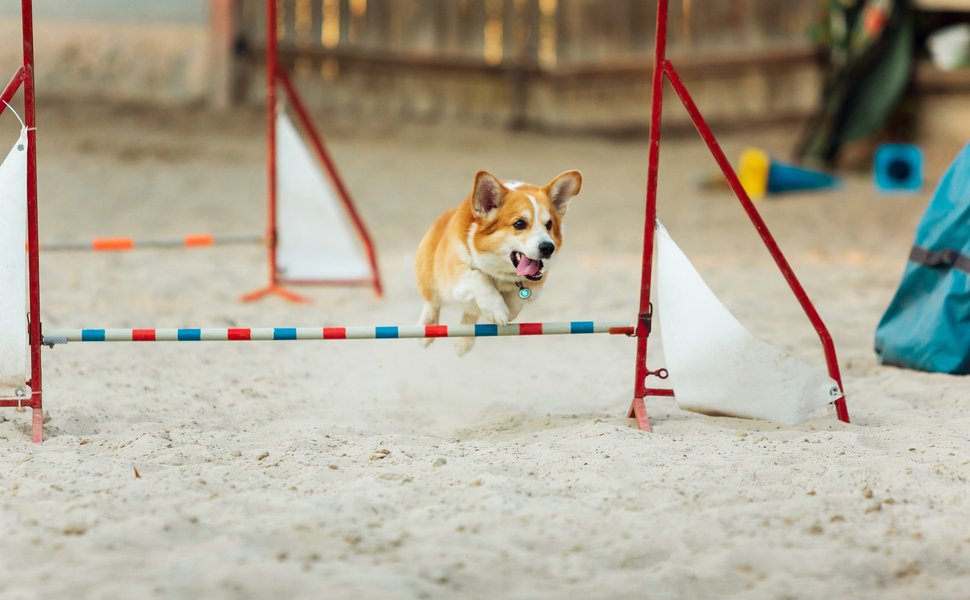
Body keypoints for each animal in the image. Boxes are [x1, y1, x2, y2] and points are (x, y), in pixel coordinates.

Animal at [416, 169, 584, 354]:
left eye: (549, 224)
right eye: (519, 223)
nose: (548, 248)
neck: (500, 271)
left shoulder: (535, 284)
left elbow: (519, 299)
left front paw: (507, 310)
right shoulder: (456, 274)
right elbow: (479, 278)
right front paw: (497, 310)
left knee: (469, 312)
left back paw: (464, 343)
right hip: (430, 275)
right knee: (432, 303)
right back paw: (427, 330)